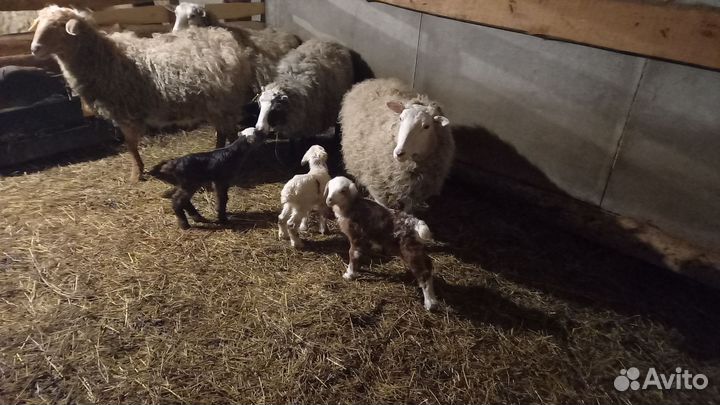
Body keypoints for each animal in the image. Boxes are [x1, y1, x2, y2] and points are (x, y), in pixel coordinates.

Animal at [30, 6, 264, 181]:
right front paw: (138, 171)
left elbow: (130, 144)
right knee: (222, 131)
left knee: (230, 132)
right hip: (214, 103)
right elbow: (130, 144)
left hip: (224, 101)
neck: (106, 58)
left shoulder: (126, 112)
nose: (34, 48)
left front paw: (136, 174)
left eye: (58, 26)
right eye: (39, 24)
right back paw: (215, 150)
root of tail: (225, 38)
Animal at [324, 176, 439, 311]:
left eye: (343, 190)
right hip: (417, 249)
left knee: (423, 274)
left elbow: (353, 254)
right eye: (330, 187)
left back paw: (429, 303)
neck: (351, 207)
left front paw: (349, 274)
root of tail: (417, 224)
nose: (329, 200)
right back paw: (433, 299)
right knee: (429, 267)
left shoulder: (356, 238)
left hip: (410, 251)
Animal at [340, 78, 455, 213]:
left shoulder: (413, 193)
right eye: (400, 118)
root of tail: (373, 80)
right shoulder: (377, 185)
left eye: (426, 126)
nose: (399, 153)